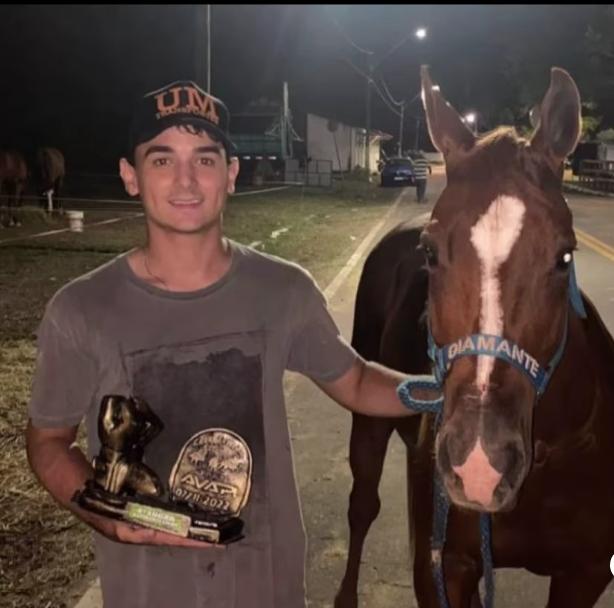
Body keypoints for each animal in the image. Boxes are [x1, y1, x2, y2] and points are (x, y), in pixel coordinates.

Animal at [336, 66, 614, 608]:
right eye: (429, 253)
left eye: (564, 256)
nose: (479, 464)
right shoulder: (441, 569)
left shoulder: (587, 573)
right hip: (368, 424)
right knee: (361, 506)